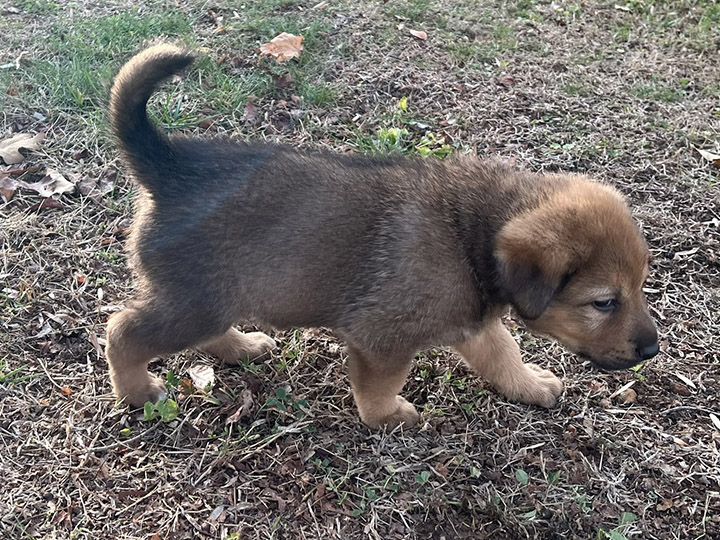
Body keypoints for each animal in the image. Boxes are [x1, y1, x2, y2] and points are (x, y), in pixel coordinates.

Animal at [105, 44, 660, 428]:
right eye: (603, 303)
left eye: (639, 288)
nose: (652, 352)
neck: (470, 234)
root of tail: (169, 166)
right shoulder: (383, 340)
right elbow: (380, 385)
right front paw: (387, 417)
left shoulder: (475, 322)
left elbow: (503, 355)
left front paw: (528, 385)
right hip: (193, 301)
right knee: (121, 331)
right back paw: (137, 391)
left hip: (211, 299)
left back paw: (241, 347)